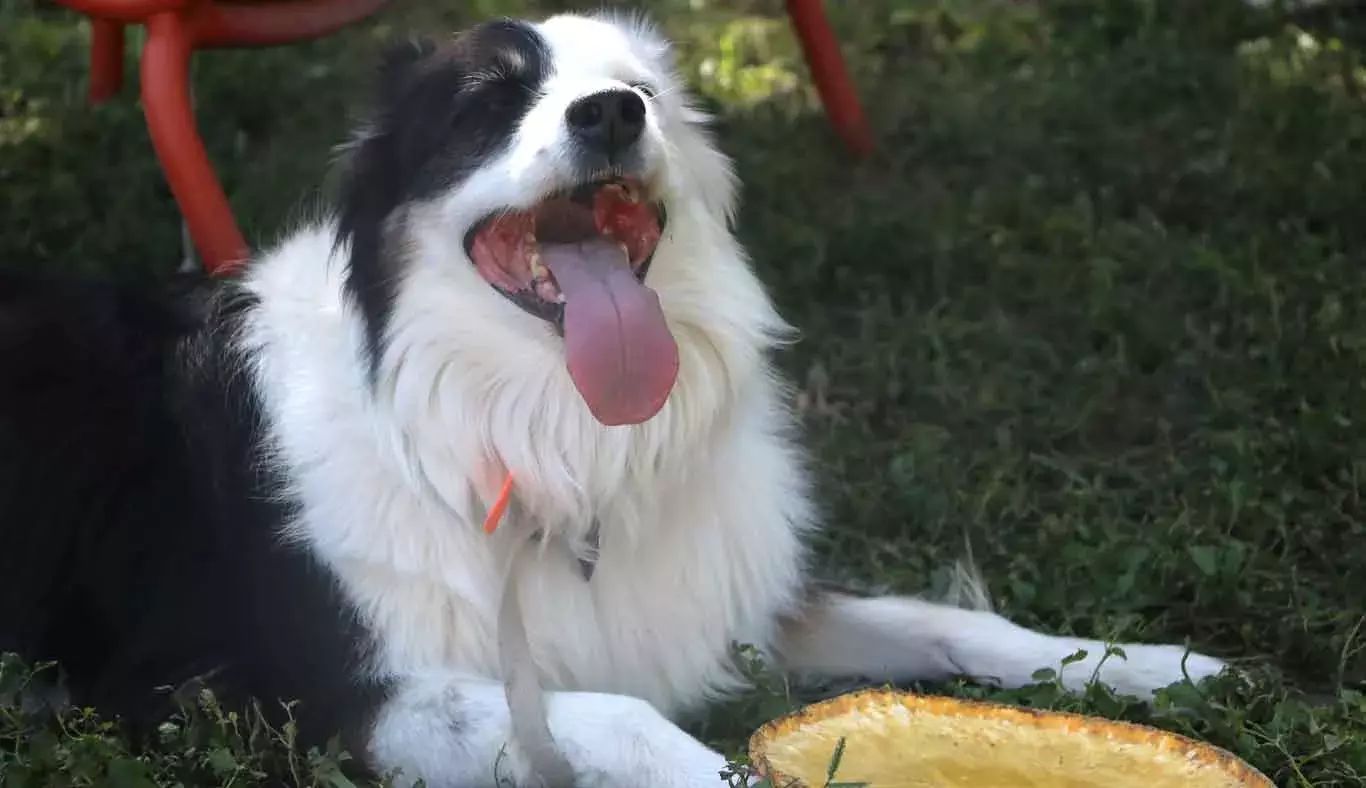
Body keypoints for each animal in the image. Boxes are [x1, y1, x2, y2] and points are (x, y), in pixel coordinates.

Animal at [0, 12, 1234, 786]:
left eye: (644, 93)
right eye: (487, 103)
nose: (610, 115)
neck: (545, 430)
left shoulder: (726, 592)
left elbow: (947, 620)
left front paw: (1152, 664)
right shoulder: (304, 693)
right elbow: (619, 715)